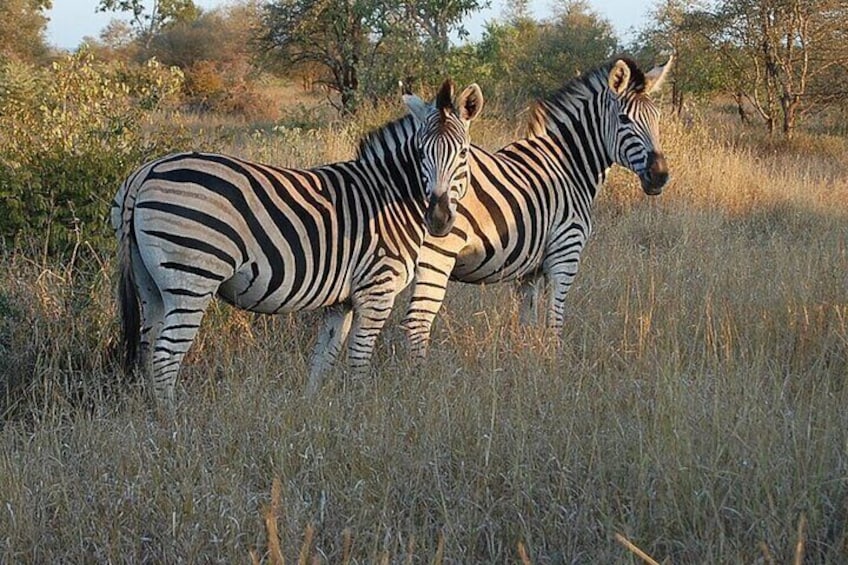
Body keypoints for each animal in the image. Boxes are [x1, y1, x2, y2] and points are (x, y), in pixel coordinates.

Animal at [111, 79, 484, 406]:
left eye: (463, 153)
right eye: (421, 153)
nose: (438, 219)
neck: (389, 194)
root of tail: (145, 172)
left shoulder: (342, 300)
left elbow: (324, 359)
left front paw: (315, 410)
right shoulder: (377, 289)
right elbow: (359, 359)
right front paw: (362, 408)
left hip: (150, 283)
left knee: (147, 348)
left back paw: (149, 414)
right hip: (191, 277)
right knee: (164, 356)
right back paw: (171, 422)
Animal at [402, 56, 672, 358]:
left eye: (657, 118)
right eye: (624, 119)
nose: (660, 175)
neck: (569, 165)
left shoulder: (528, 270)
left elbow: (527, 322)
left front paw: (526, 358)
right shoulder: (565, 253)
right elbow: (555, 319)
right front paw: (554, 361)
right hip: (437, 254)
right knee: (417, 321)